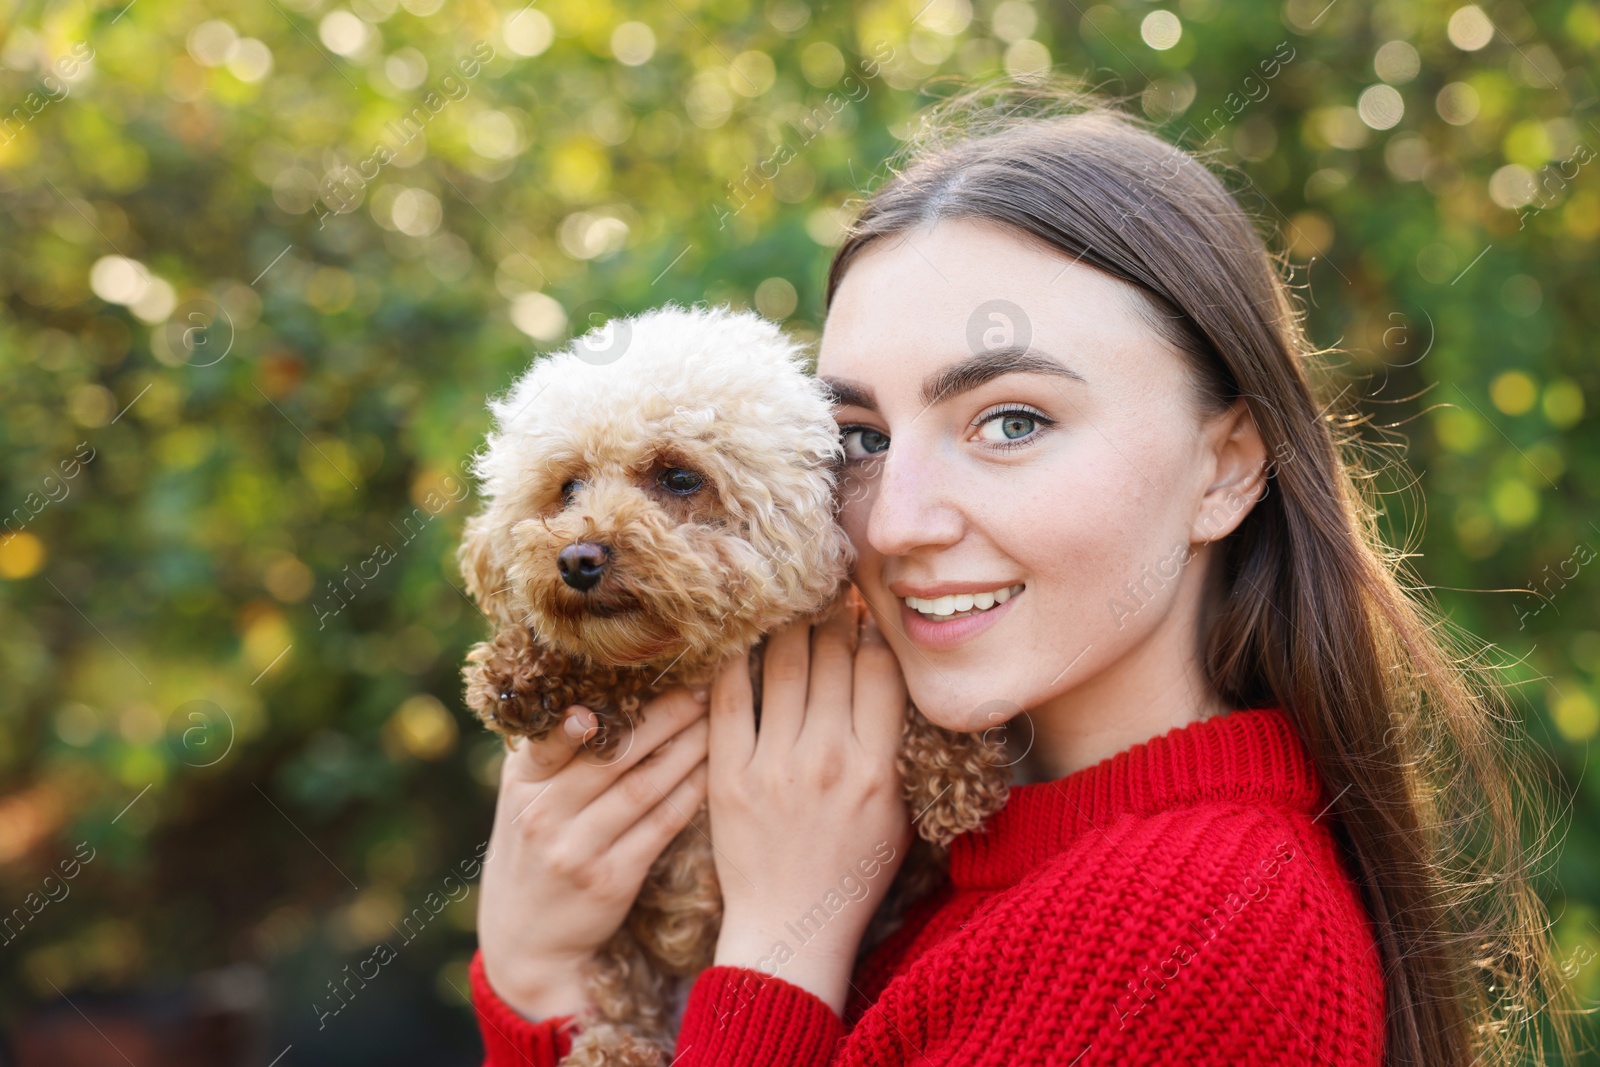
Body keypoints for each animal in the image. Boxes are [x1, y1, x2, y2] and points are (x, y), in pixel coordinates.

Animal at [464, 303, 1004, 1062]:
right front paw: (521, 673)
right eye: (567, 487)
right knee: (621, 987)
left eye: (679, 477)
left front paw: (955, 769)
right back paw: (615, 1047)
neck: (707, 660)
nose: (576, 559)